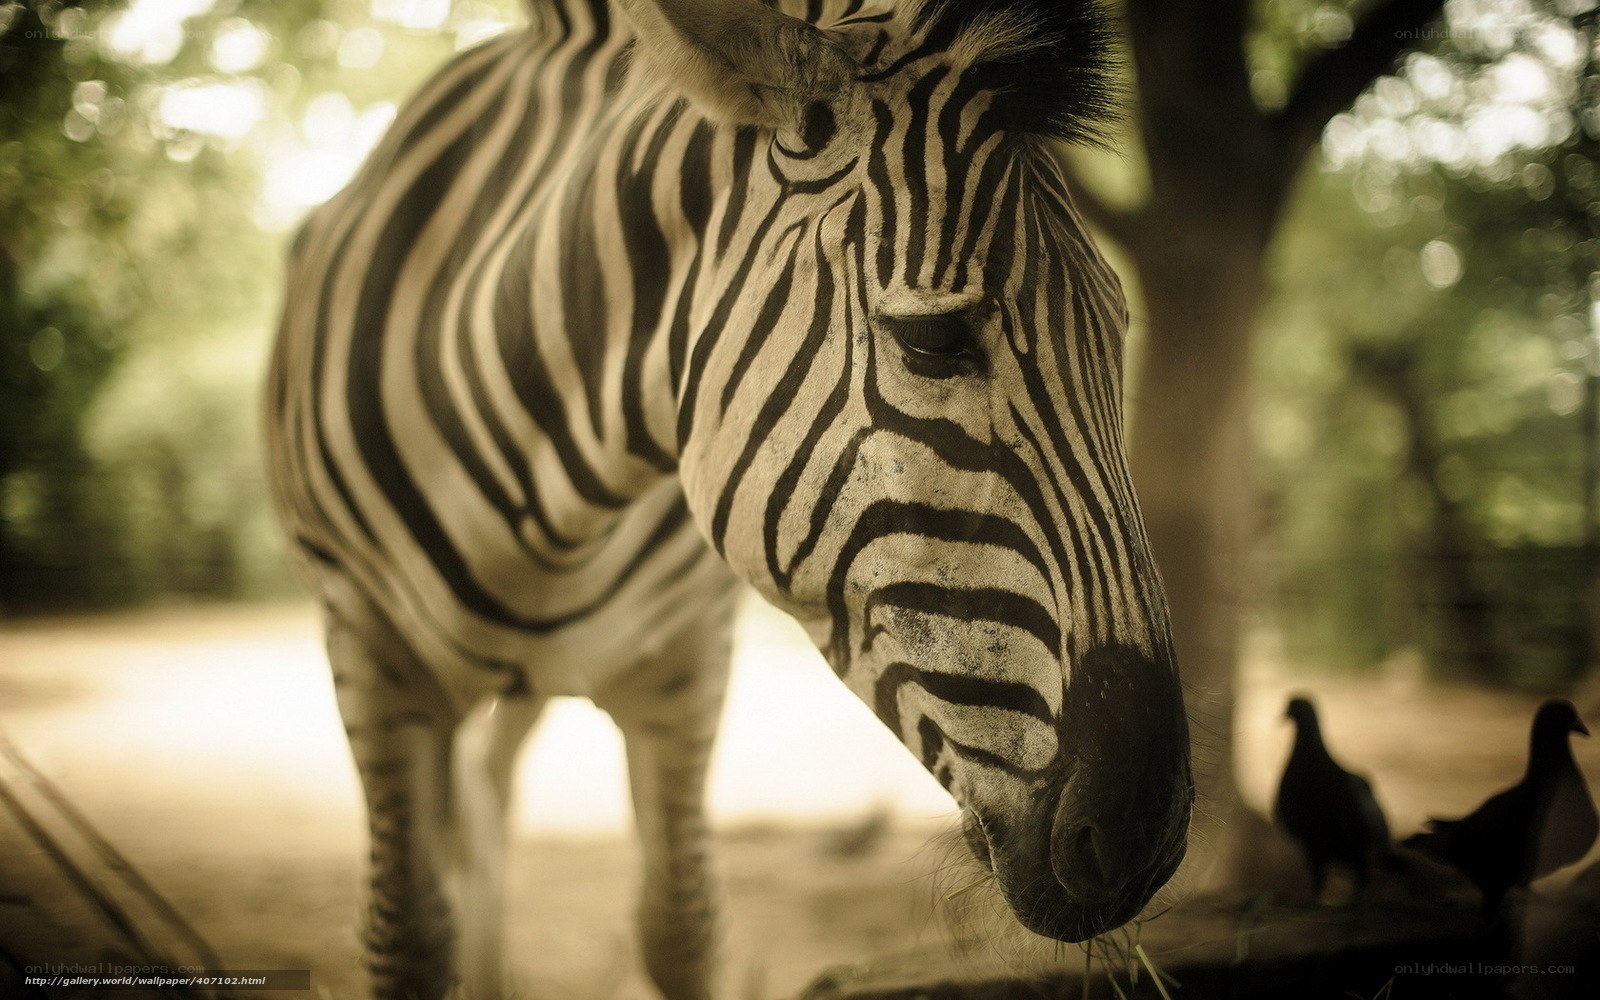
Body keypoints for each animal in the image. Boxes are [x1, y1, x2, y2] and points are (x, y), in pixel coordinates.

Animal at [264, 0, 1193, 997]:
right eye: (933, 340)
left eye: (1120, 330)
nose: (1146, 838)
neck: (549, 510)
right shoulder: (368, 648)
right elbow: (407, 936)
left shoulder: (686, 662)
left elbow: (680, 925)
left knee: (487, 796)